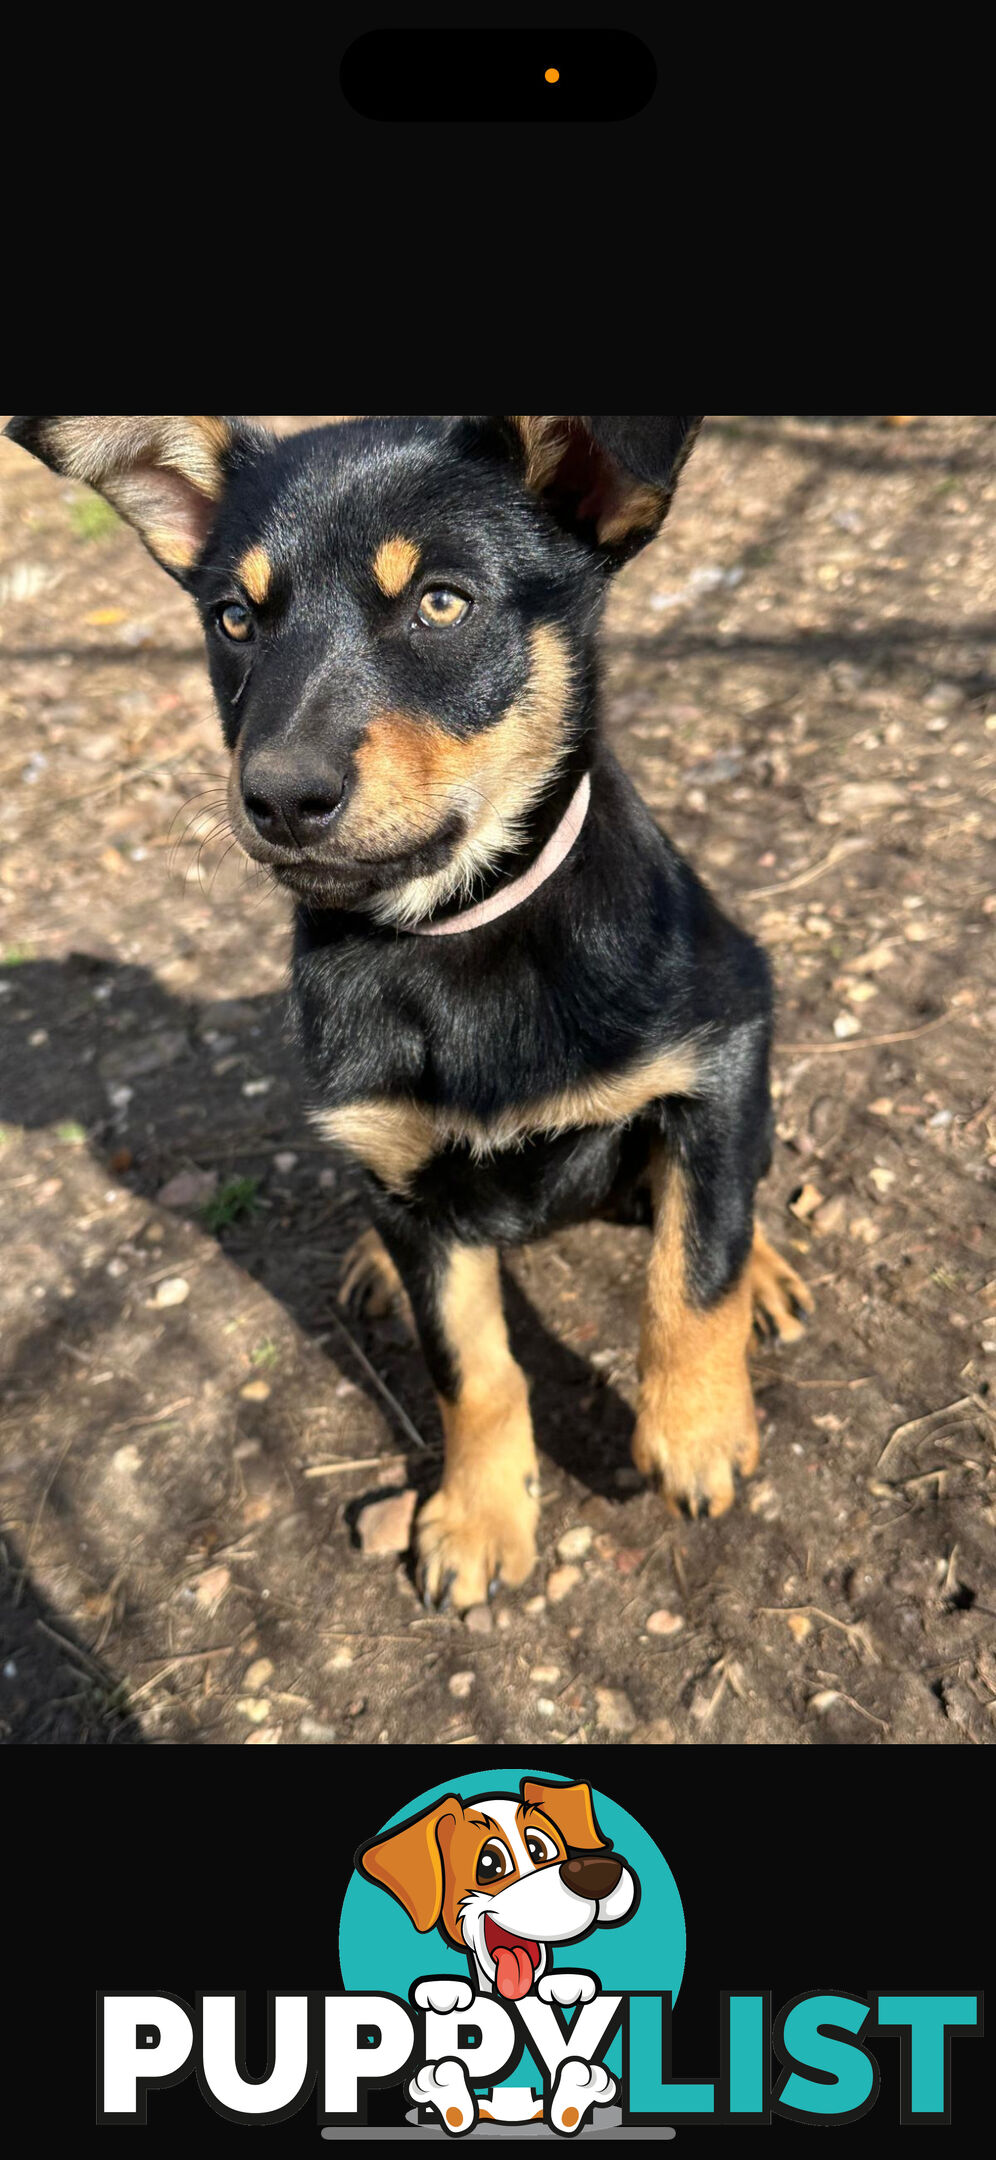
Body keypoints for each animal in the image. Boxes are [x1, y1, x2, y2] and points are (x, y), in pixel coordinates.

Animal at [5, 412, 808, 1615]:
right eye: (234, 618)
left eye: (441, 602)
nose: (279, 799)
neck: (447, 935)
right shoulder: (402, 1167)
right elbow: (470, 1367)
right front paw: (477, 1517)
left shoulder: (719, 1041)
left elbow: (692, 1270)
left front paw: (696, 1430)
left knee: (719, 1200)